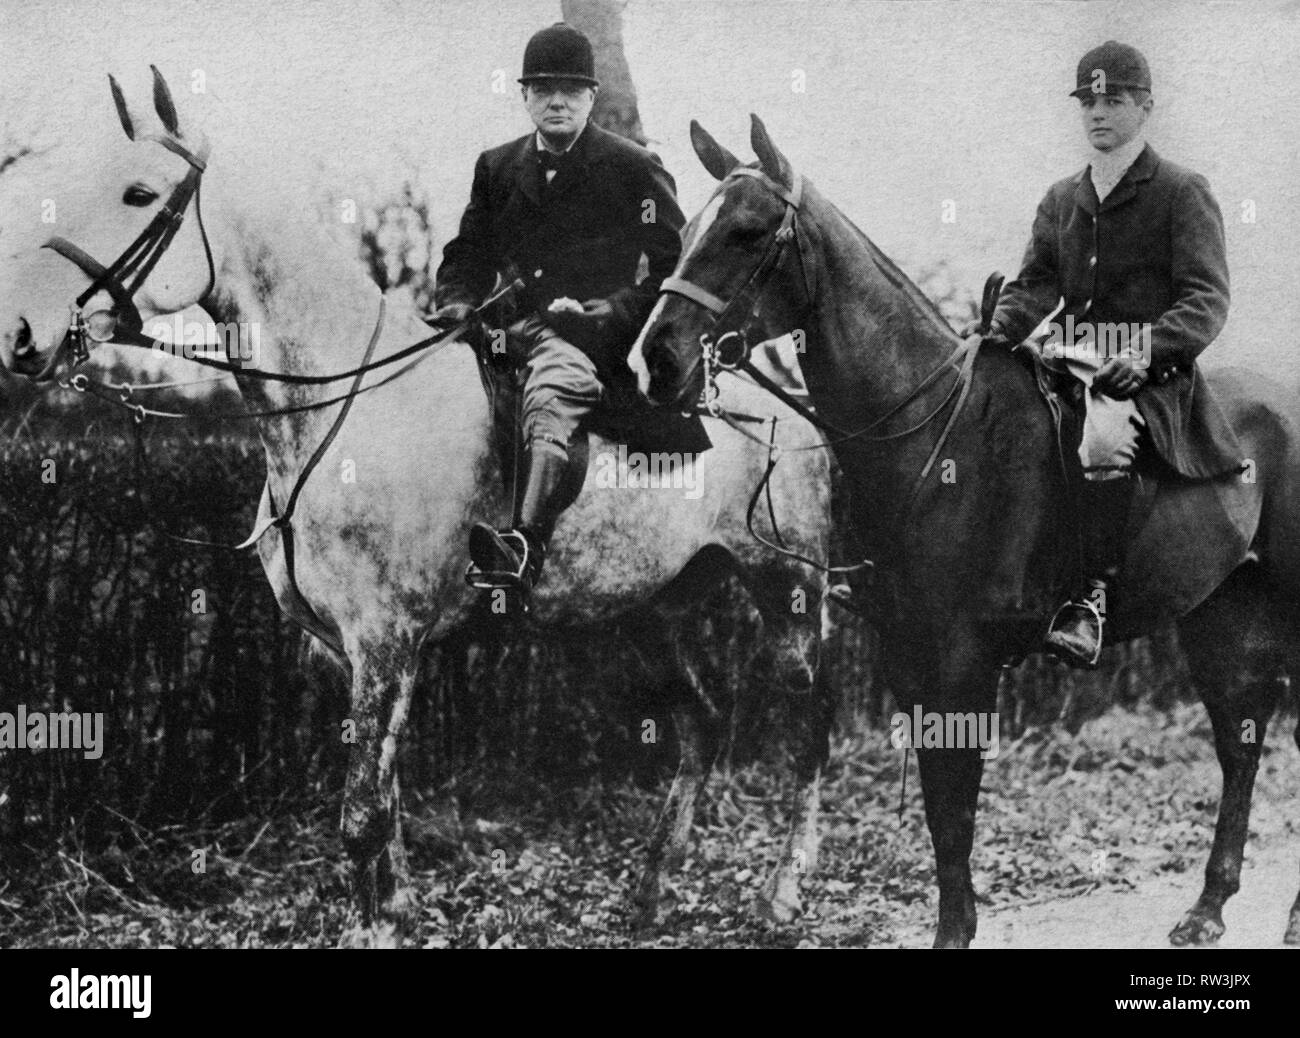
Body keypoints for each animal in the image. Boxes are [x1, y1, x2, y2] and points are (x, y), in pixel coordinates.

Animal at [0, 68, 842, 946]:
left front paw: (369, 927)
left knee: (812, 726)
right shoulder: (352, 649)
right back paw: (649, 890)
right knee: (703, 721)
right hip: (648, 611)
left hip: (787, 590)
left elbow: (361, 814)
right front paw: (398, 908)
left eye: (138, 193)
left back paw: (782, 892)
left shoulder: (385, 639)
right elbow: (387, 793)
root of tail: (789, 404)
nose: (22, 334)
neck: (344, 407)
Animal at [634, 115, 1300, 952]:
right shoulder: (913, 656)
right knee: (1240, 738)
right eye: (689, 226)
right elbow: (940, 810)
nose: (658, 361)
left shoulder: (964, 661)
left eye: (747, 231)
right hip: (1220, 611)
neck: (934, 432)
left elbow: (955, 806)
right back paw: (1208, 906)